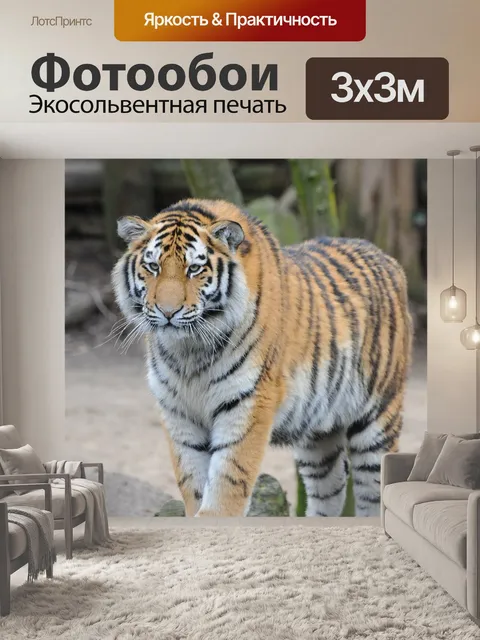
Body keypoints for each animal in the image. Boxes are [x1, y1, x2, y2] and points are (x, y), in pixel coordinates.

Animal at [112, 198, 412, 518]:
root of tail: (388, 259)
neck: (189, 352)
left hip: (377, 422)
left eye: (194, 269)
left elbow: (227, 484)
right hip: (319, 438)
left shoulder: (247, 403)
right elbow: (193, 484)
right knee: (329, 489)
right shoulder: (178, 413)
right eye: (153, 266)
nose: (168, 312)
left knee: (375, 493)